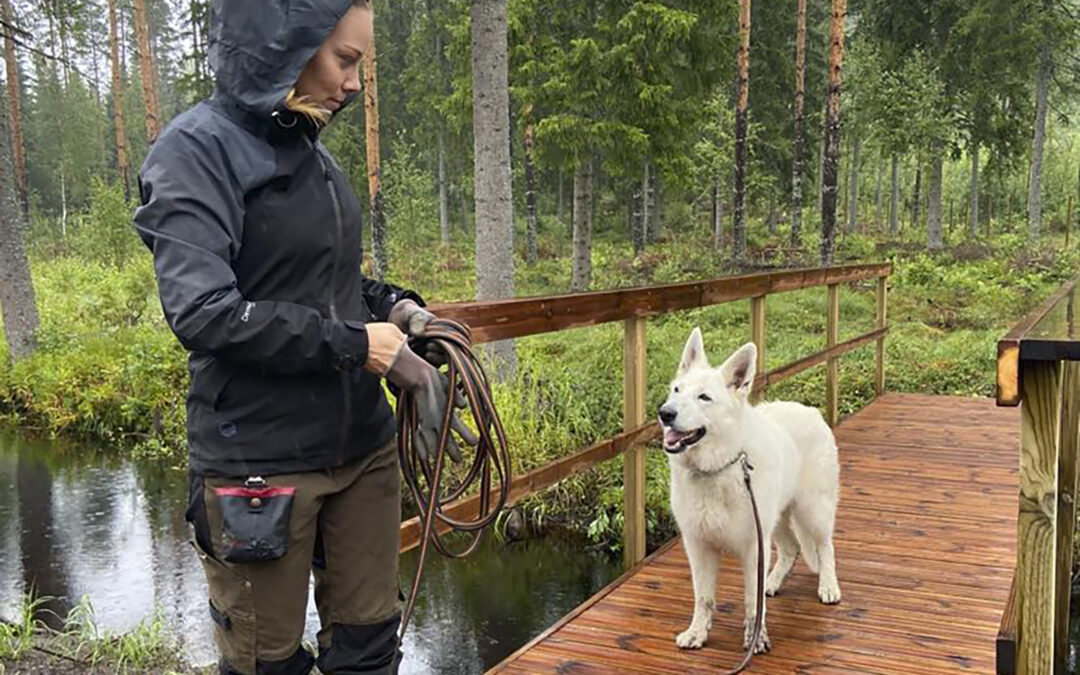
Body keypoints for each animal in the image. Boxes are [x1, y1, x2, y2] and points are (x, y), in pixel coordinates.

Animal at [656, 328, 842, 652]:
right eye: (677, 390)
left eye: (704, 397)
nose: (664, 413)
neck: (717, 468)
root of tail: (810, 410)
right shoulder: (699, 546)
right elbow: (704, 598)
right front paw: (697, 633)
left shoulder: (754, 546)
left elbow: (751, 602)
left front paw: (756, 638)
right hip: (776, 521)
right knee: (791, 549)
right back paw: (773, 582)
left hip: (812, 512)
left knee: (825, 547)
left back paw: (828, 586)